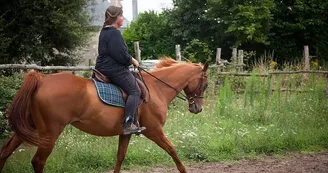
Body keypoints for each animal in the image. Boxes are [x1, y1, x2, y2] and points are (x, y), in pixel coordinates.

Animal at [0, 57, 209, 172]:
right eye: (205, 84)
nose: (197, 108)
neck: (156, 88)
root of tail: (42, 79)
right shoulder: (154, 131)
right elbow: (173, 150)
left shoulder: (126, 133)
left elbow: (120, 157)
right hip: (49, 133)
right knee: (38, 162)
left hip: (29, 127)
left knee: (5, 152)